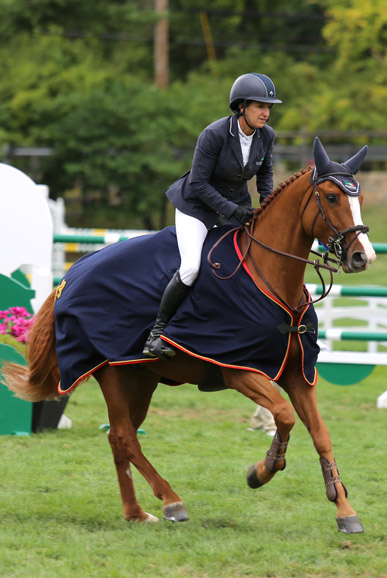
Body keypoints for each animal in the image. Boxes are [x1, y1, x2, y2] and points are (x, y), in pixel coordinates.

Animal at [2, 138, 376, 532]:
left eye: (359, 198)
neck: (270, 274)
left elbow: (320, 434)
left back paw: (136, 512)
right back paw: (171, 501)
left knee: (120, 436)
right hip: (110, 370)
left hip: (139, 377)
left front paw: (345, 510)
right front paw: (262, 471)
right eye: (332, 197)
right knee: (125, 436)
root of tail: (69, 277)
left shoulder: (297, 373)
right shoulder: (238, 370)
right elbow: (284, 415)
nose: (362, 257)